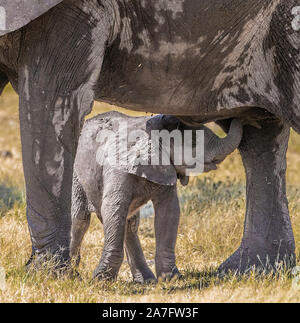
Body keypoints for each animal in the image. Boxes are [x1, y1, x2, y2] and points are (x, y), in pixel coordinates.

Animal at [69, 112, 243, 282]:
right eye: (194, 143)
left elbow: (169, 210)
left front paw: (172, 279)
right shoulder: (117, 167)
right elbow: (114, 207)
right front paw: (101, 280)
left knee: (130, 224)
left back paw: (146, 281)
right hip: (75, 176)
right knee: (80, 219)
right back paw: (71, 274)